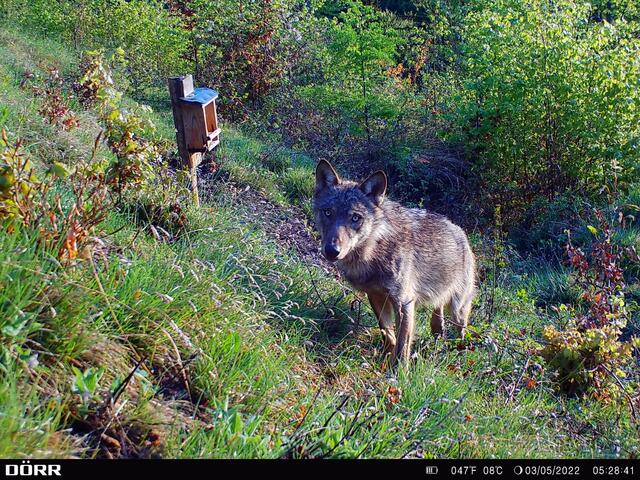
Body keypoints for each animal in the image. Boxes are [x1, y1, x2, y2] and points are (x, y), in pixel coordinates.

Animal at [313, 160, 476, 364]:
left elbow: (402, 344)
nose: (332, 251)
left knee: (461, 331)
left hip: (458, 309)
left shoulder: (404, 302)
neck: (374, 251)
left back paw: (458, 354)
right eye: (328, 212)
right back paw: (438, 335)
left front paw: (398, 370)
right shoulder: (375, 296)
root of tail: (461, 233)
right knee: (438, 312)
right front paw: (384, 358)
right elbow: (387, 334)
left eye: (355, 217)